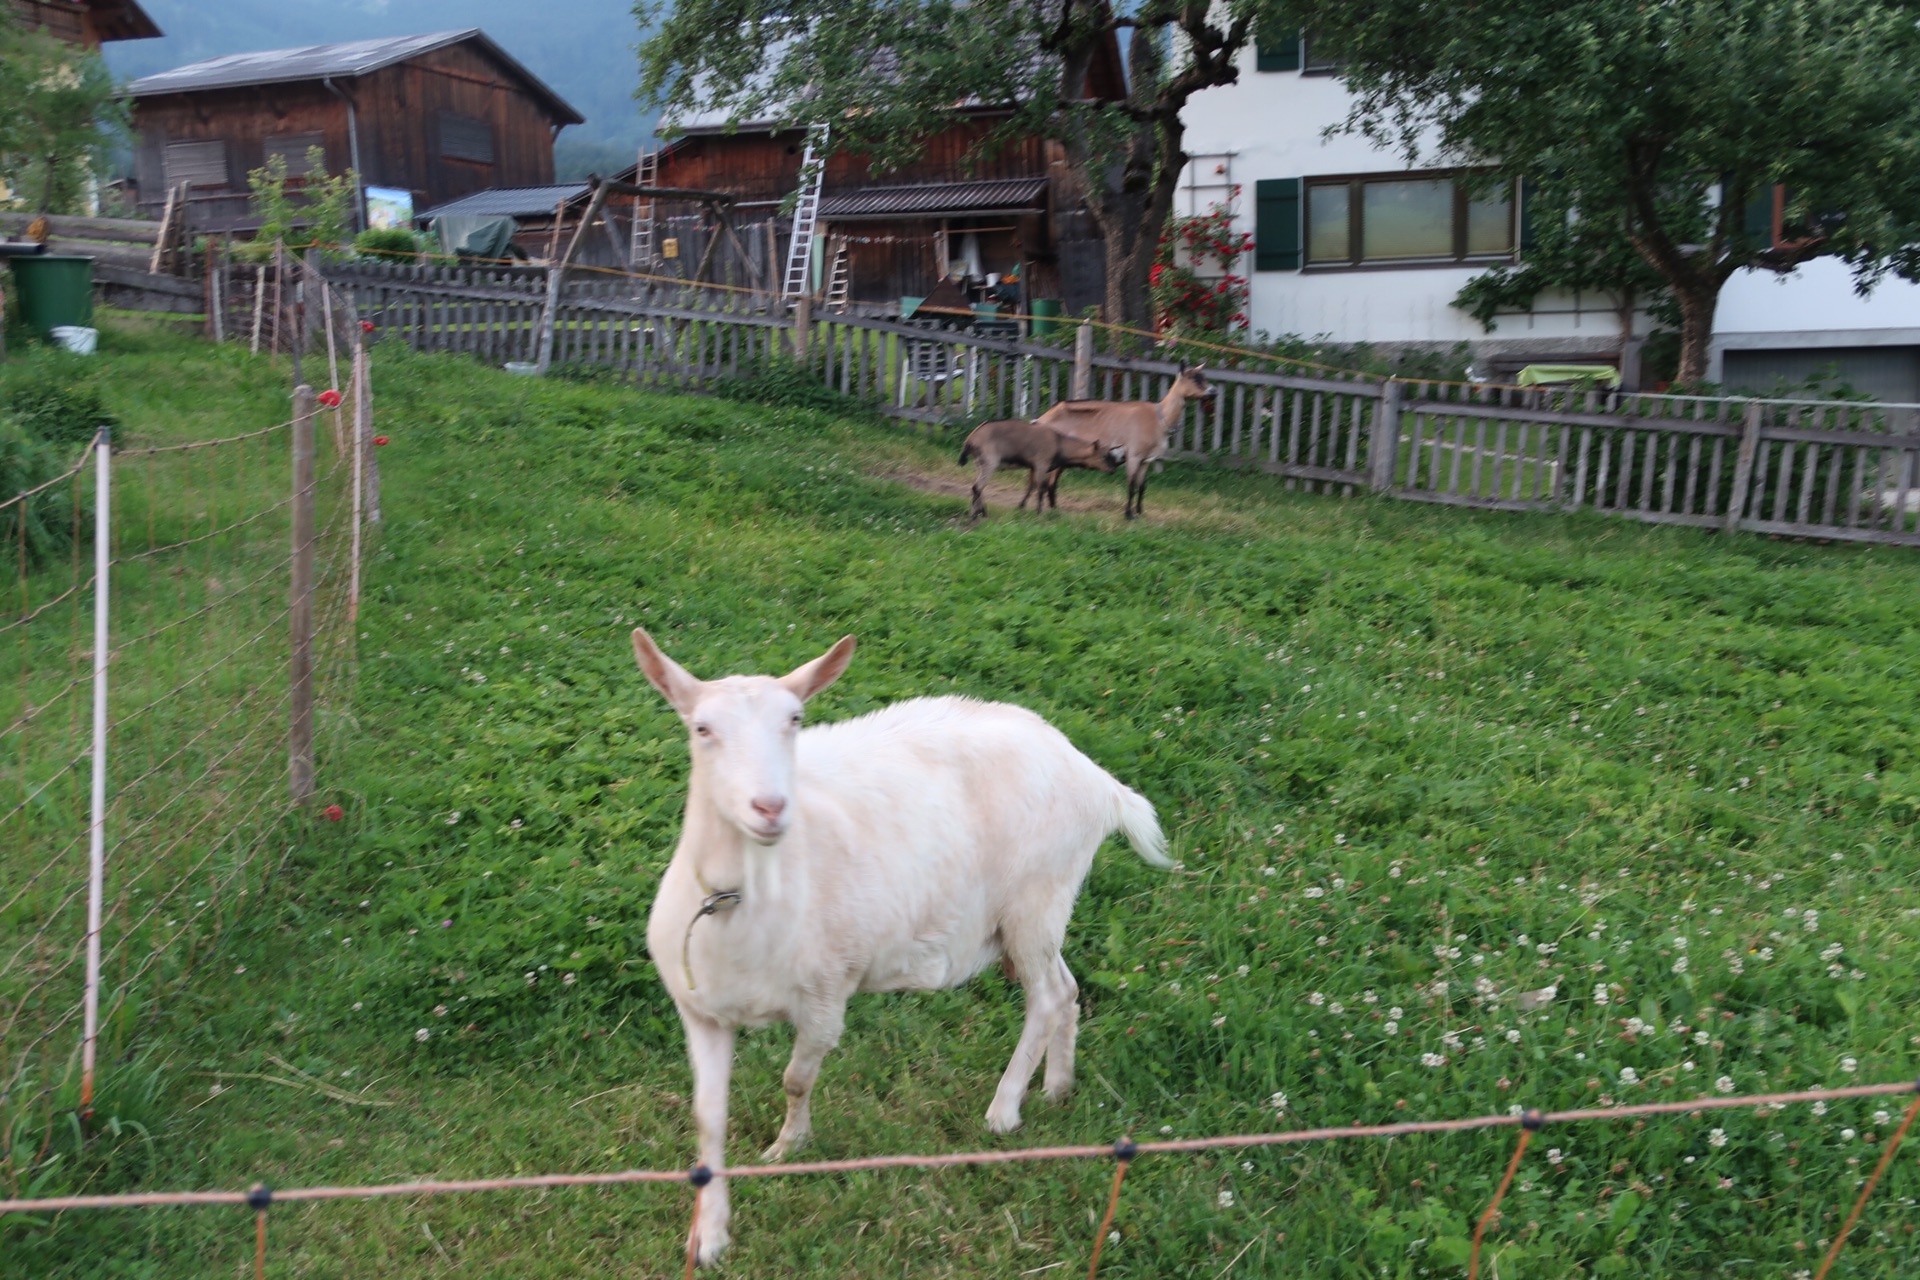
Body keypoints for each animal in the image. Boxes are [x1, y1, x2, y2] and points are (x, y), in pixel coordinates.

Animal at [633, 625, 1167, 1266]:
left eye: (795, 719)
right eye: (701, 729)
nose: (770, 807)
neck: (739, 899)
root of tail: (1096, 777)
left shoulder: (826, 995)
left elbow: (796, 1079)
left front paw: (788, 1147)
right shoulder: (702, 1013)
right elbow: (708, 1117)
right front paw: (707, 1236)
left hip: (1038, 895)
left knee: (1045, 999)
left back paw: (1004, 1111)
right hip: (1032, 915)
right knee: (1066, 988)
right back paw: (1057, 1088)